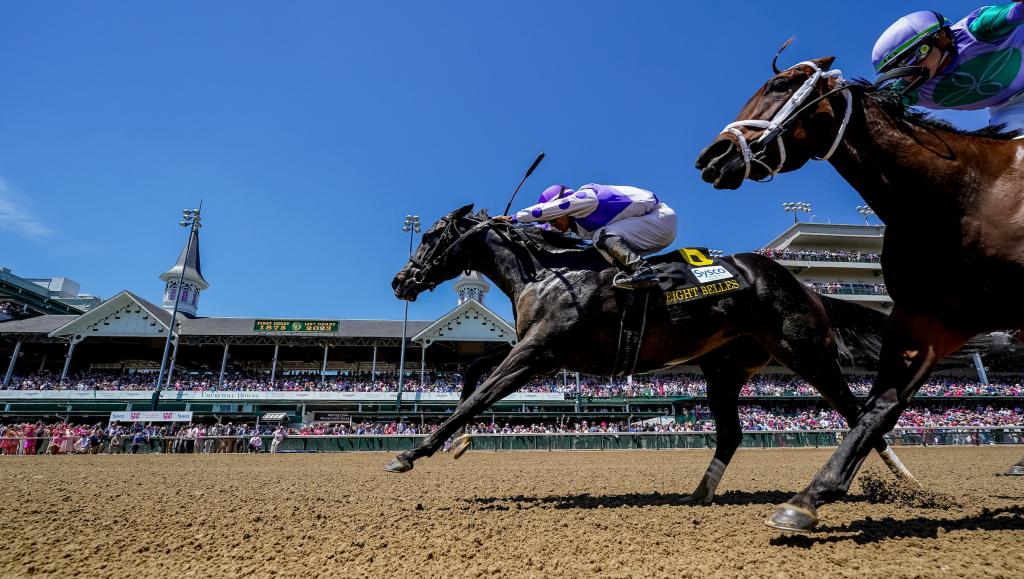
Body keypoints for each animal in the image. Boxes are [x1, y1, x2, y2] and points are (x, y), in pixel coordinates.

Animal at [696, 52, 1024, 528]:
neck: (960, 196)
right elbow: (880, 406)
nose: (710, 156)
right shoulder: (926, 319)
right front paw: (810, 498)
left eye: (780, 85)